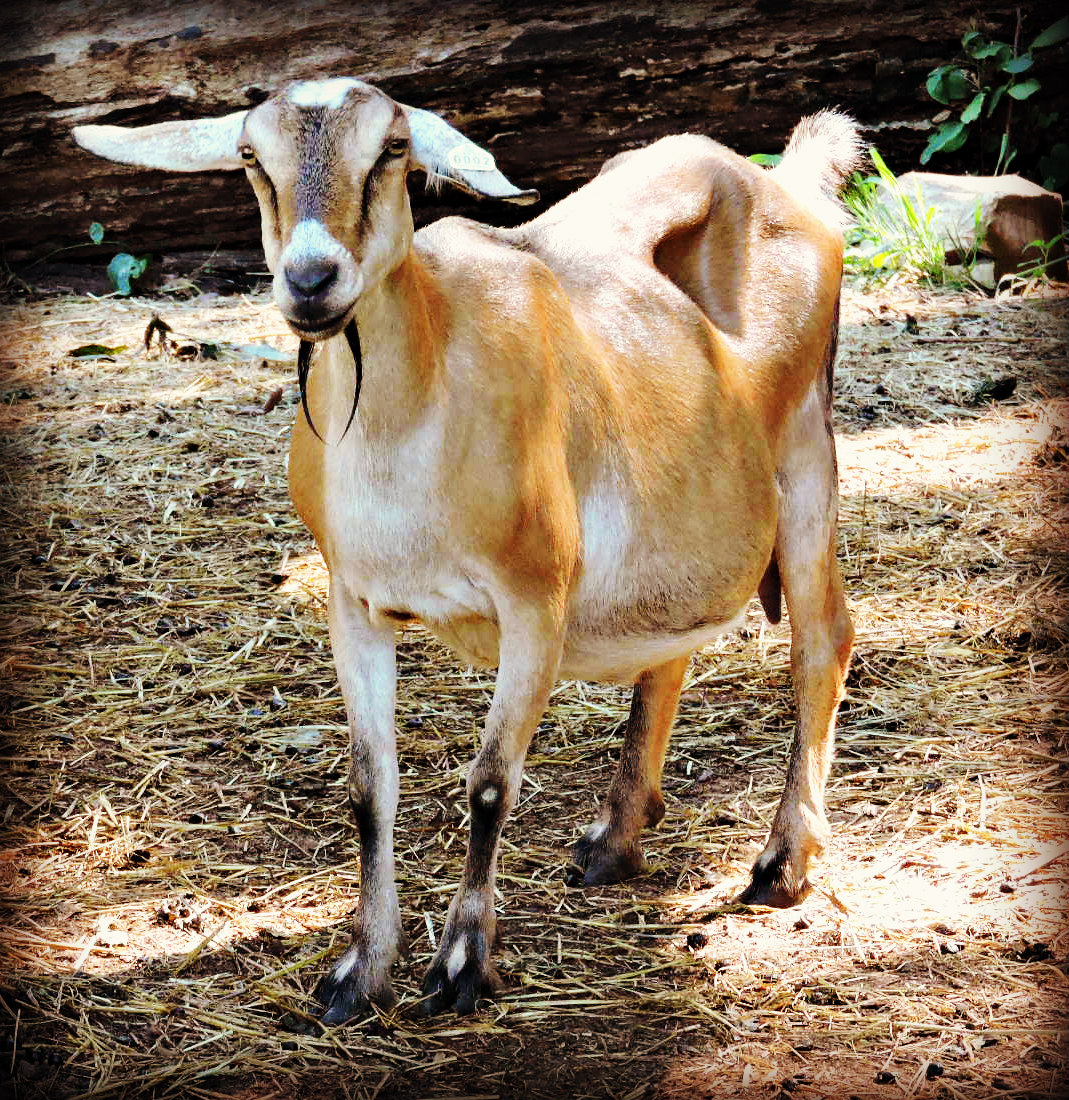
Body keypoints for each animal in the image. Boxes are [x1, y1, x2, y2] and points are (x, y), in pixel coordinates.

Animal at [73, 79, 859, 1022]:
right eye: (251, 157)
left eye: (392, 149)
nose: (310, 279)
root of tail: (788, 181)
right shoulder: (352, 601)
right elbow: (368, 786)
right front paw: (359, 970)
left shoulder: (535, 600)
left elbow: (489, 782)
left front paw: (459, 964)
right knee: (672, 645)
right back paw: (615, 838)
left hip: (807, 458)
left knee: (822, 642)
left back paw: (781, 864)